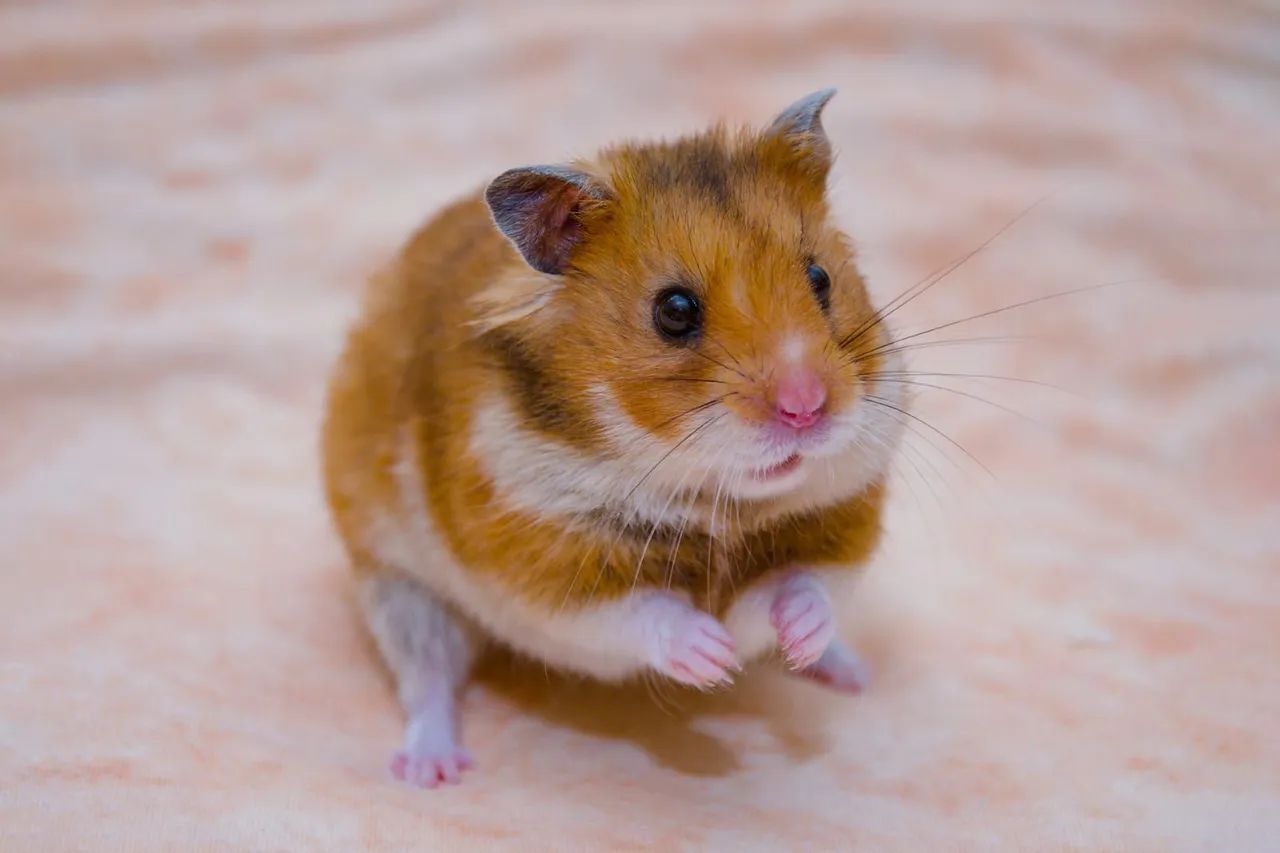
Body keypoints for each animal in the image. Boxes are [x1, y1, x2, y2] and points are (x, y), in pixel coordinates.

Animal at [322, 89, 905, 788]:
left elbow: (801, 585)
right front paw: (714, 658)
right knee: (427, 678)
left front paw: (789, 636)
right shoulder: (541, 563)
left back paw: (850, 672)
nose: (806, 408)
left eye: (820, 279)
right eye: (674, 311)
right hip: (399, 588)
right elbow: (644, 611)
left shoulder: (841, 519)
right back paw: (430, 771)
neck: (716, 501)